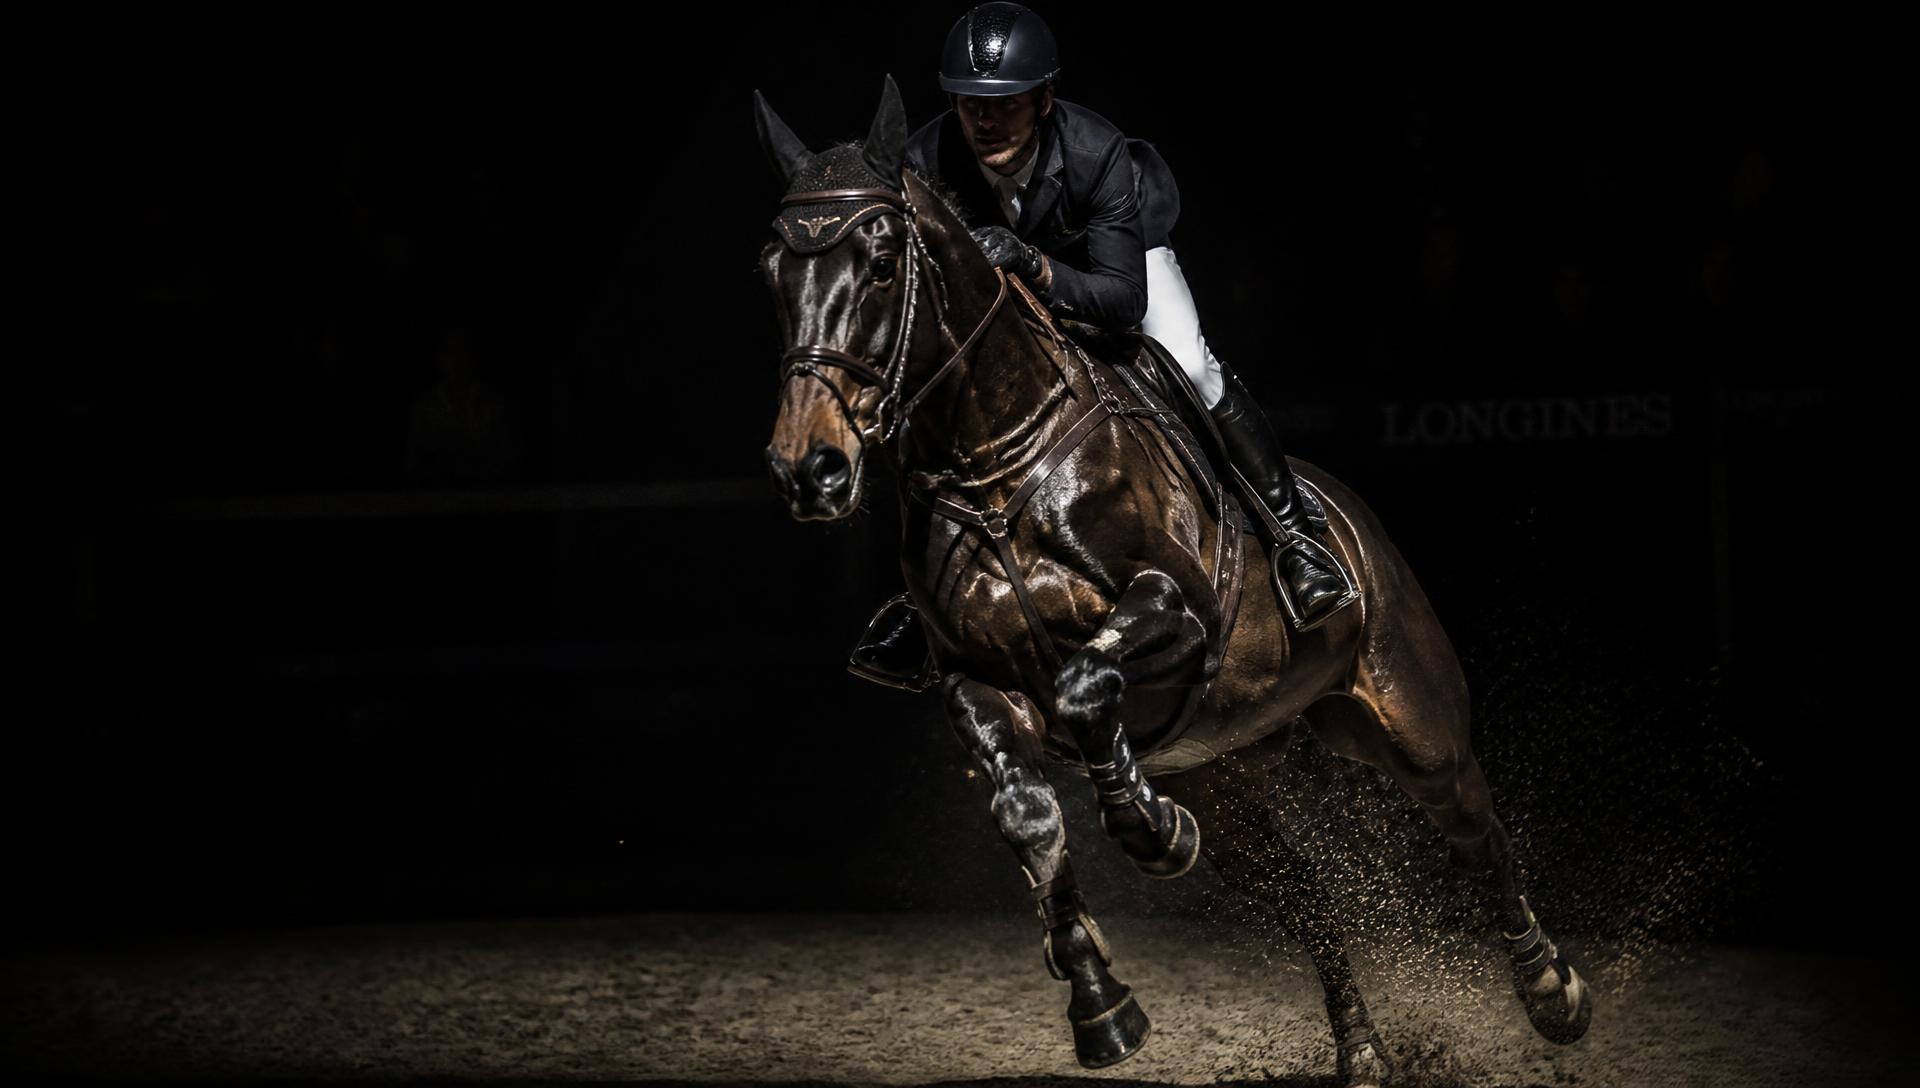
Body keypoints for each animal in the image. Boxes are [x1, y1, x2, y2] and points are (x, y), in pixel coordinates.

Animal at [755, 77, 1592, 1086]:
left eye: (881, 265)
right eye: (772, 270)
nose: (809, 471)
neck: (994, 459)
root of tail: (1355, 515)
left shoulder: (1180, 616)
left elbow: (1088, 679)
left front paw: (1147, 828)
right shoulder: (976, 683)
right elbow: (1027, 810)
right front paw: (1100, 1005)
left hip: (1409, 720)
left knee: (1476, 830)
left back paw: (1552, 992)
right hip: (1224, 777)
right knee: (1306, 900)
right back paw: (1361, 1050)